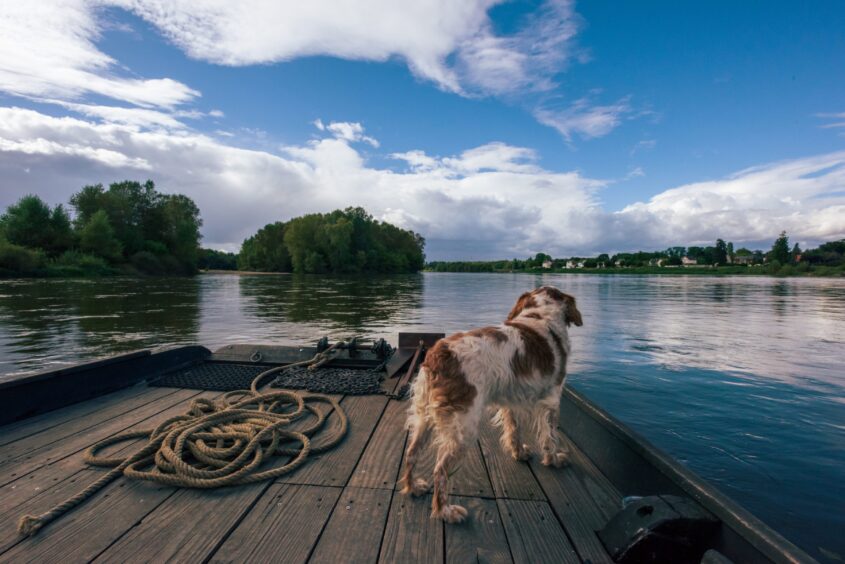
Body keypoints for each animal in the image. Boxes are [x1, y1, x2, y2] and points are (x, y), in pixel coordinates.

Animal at [398, 286, 584, 524]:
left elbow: (514, 431)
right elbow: (550, 437)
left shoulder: (511, 402)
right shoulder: (552, 399)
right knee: (439, 470)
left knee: (411, 453)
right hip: (463, 429)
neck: (541, 317)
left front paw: (519, 453)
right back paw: (445, 511)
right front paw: (554, 460)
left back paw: (413, 487)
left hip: (423, 416)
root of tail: (440, 352)